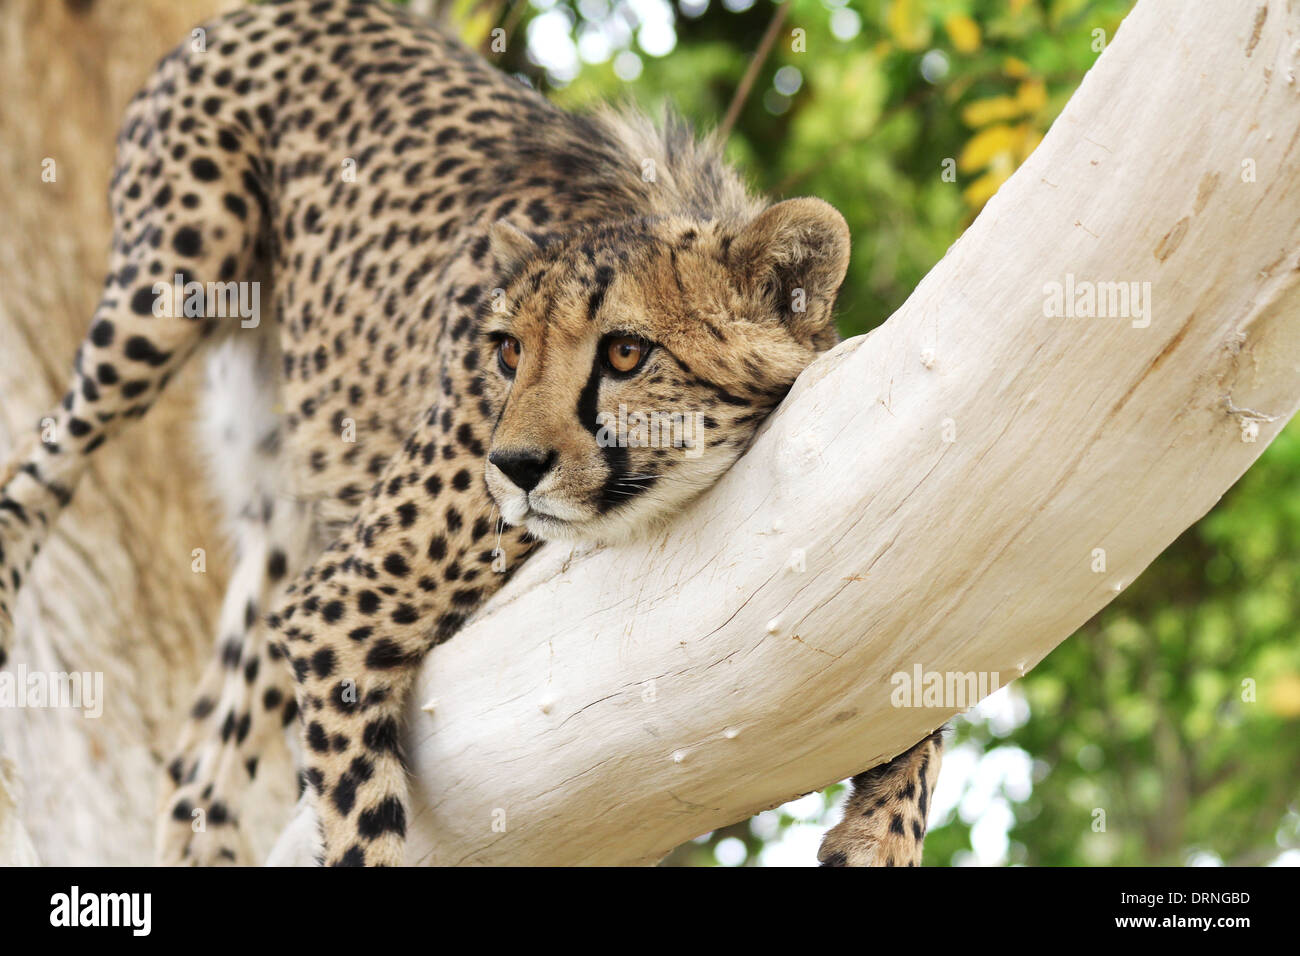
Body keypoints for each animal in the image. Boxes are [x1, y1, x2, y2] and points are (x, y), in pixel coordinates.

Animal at [0, 0, 941, 868]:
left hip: (282, 494)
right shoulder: (333, 609)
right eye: (507, 351)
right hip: (168, 285)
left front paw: (878, 835)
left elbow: (914, 699)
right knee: (37, 472)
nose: (514, 466)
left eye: (627, 353)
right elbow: (364, 829)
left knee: (197, 763)